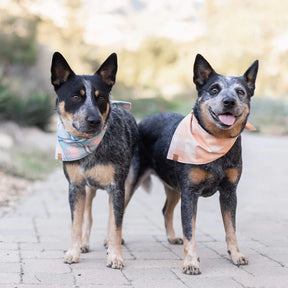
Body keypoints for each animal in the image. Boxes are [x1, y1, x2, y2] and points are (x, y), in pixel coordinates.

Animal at [50, 50, 138, 268]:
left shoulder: (117, 187)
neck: (88, 147)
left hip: (129, 183)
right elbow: (76, 222)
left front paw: (115, 256)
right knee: (87, 216)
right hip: (88, 189)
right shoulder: (75, 186)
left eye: (101, 98)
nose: (94, 120)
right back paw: (84, 243)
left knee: (115, 216)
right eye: (75, 97)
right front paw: (73, 252)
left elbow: (116, 224)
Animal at [129, 54, 258, 274]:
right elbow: (190, 230)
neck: (215, 142)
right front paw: (190, 262)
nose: (229, 101)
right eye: (214, 89)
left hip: (174, 187)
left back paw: (172, 237)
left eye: (240, 92)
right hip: (131, 181)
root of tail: (143, 121)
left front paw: (236, 255)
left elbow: (231, 228)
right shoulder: (190, 193)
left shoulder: (229, 192)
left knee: (166, 210)